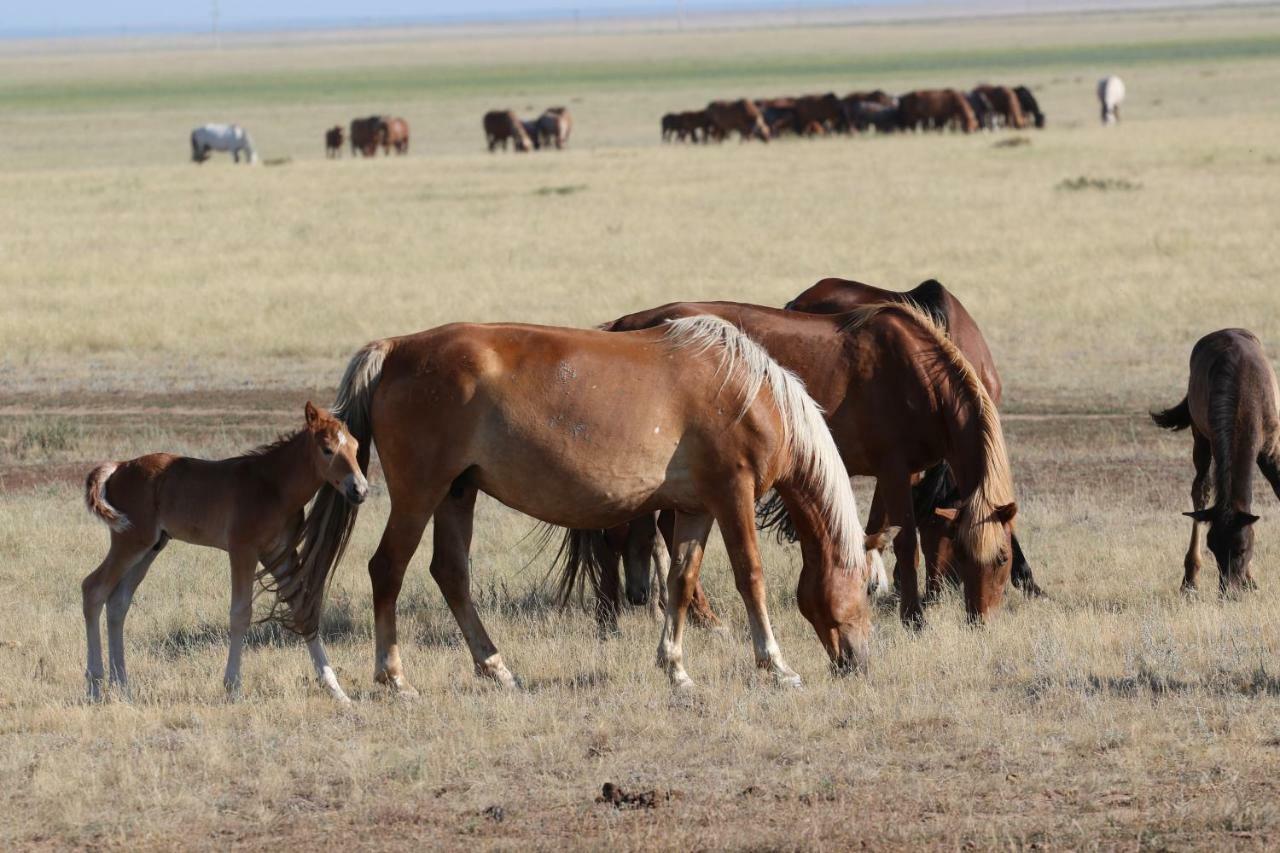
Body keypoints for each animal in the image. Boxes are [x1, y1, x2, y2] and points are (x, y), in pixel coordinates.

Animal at [81, 402, 366, 701]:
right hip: (130, 541)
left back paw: (122, 686)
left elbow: (303, 611)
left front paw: (337, 690)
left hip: (151, 547)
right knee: (93, 589)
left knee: (118, 602)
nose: (359, 489)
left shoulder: (280, 554)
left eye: (356, 447)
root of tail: (118, 467)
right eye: (327, 449)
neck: (274, 486)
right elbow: (240, 613)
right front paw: (233, 687)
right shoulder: (243, 550)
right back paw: (95, 686)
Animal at [281, 315, 875, 696]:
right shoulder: (734, 495)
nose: (861, 662)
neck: (750, 392)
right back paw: (394, 676)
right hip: (419, 493)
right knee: (388, 569)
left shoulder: (697, 508)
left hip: (456, 494)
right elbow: (750, 577)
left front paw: (676, 668)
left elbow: (680, 582)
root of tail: (396, 349)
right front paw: (777, 666)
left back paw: (496, 668)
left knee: (450, 573)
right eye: (866, 591)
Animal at [570, 298, 1018, 625]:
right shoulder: (893, 469)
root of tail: (627, 322)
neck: (918, 376)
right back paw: (616, 618)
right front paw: (914, 617)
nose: (981, 619)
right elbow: (905, 542)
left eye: (1001, 559)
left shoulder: (905, 473)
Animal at [1152, 325, 1280, 591]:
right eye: (1212, 548)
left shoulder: (1271, 451)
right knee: (1200, 489)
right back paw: (1190, 580)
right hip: (1199, 436)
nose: (1228, 592)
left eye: (1242, 548)